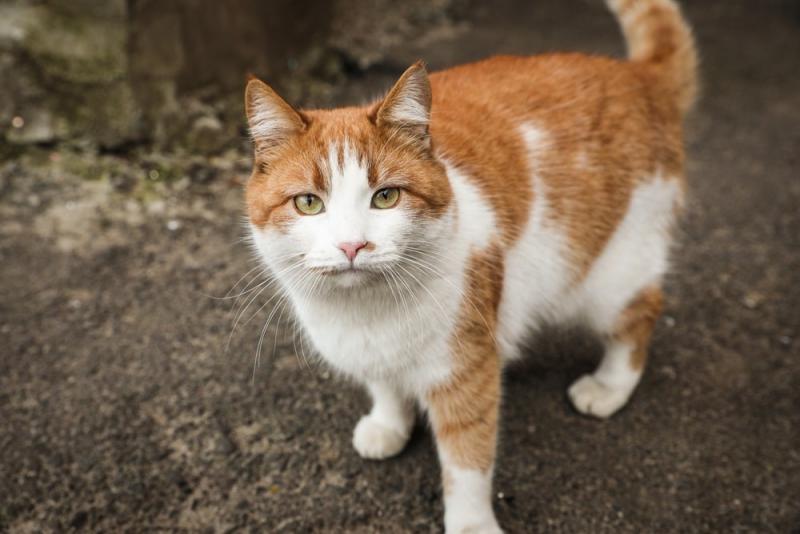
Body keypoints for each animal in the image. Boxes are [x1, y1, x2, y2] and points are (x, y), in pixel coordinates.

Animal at [242, 0, 692, 532]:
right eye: (309, 203)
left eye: (386, 197)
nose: (353, 245)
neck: (366, 311)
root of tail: (637, 75)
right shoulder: (372, 354)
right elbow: (385, 386)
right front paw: (388, 424)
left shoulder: (468, 373)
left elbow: (467, 463)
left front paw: (471, 524)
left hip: (613, 274)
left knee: (640, 315)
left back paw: (608, 386)